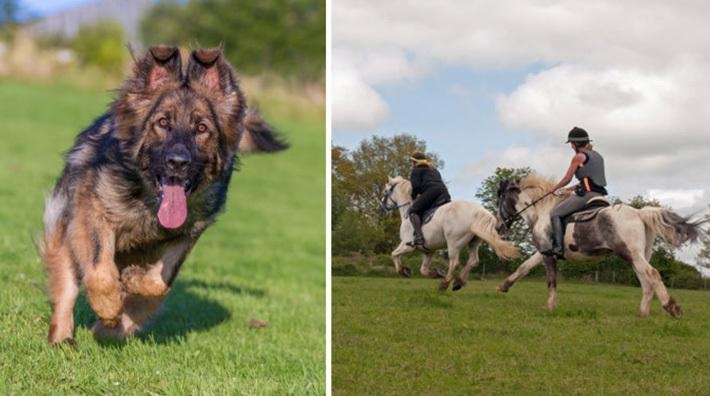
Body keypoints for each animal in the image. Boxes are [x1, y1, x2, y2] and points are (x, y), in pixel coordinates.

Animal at [39, 44, 288, 344]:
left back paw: (112, 325)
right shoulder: (92, 212)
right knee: (67, 287)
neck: (147, 203)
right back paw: (64, 337)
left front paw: (132, 281)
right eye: (162, 122)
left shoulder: (189, 232)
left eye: (202, 128)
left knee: (144, 304)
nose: (177, 162)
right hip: (65, 232)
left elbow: (161, 280)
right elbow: (100, 269)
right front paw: (108, 307)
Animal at [384, 176, 524, 290]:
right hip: (474, 242)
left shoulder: (407, 246)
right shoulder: (428, 250)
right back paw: (458, 282)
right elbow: (423, 270)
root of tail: (479, 211)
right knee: (473, 260)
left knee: (454, 262)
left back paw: (445, 284)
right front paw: (436, 273)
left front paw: (404, 271)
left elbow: (393, 254)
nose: (382, 206)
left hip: (454, 243)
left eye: (385, 191)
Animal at [498, 175, 708, 318]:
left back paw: (671, 307)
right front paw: (503, 286)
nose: (499, 227)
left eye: (500, 200)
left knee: (652, 274)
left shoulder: (548, 254)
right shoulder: (543, 251)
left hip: (631, 254)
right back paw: (642, 314)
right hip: (637, 256)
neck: (542, 212)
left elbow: (551, 280)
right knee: (646, 281)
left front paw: (549, 306)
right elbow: (523, 267)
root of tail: (639, 213)